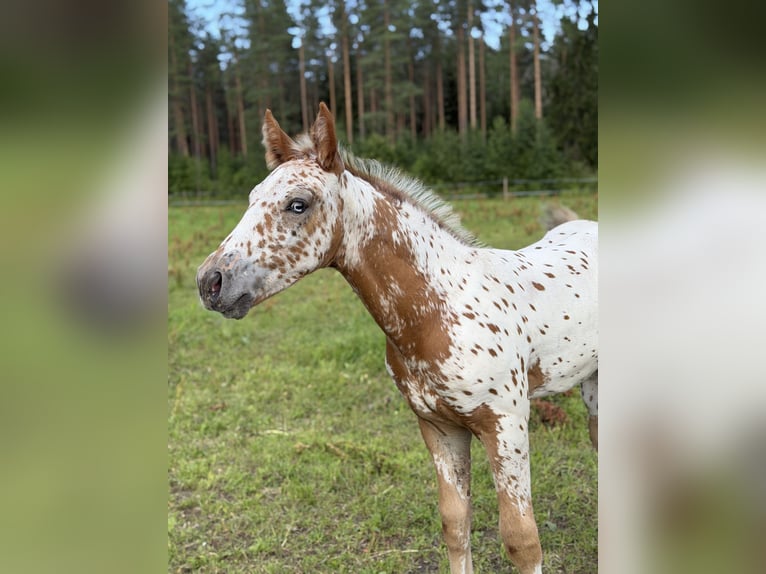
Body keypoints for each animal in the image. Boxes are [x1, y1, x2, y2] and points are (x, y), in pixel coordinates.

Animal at [196, 103, 598, 574]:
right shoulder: (438, 426)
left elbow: (522, 538)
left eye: (298, 204)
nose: (210, 282)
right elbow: (456, 524)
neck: (441, 308)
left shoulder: (506, 424)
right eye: (251, 198)